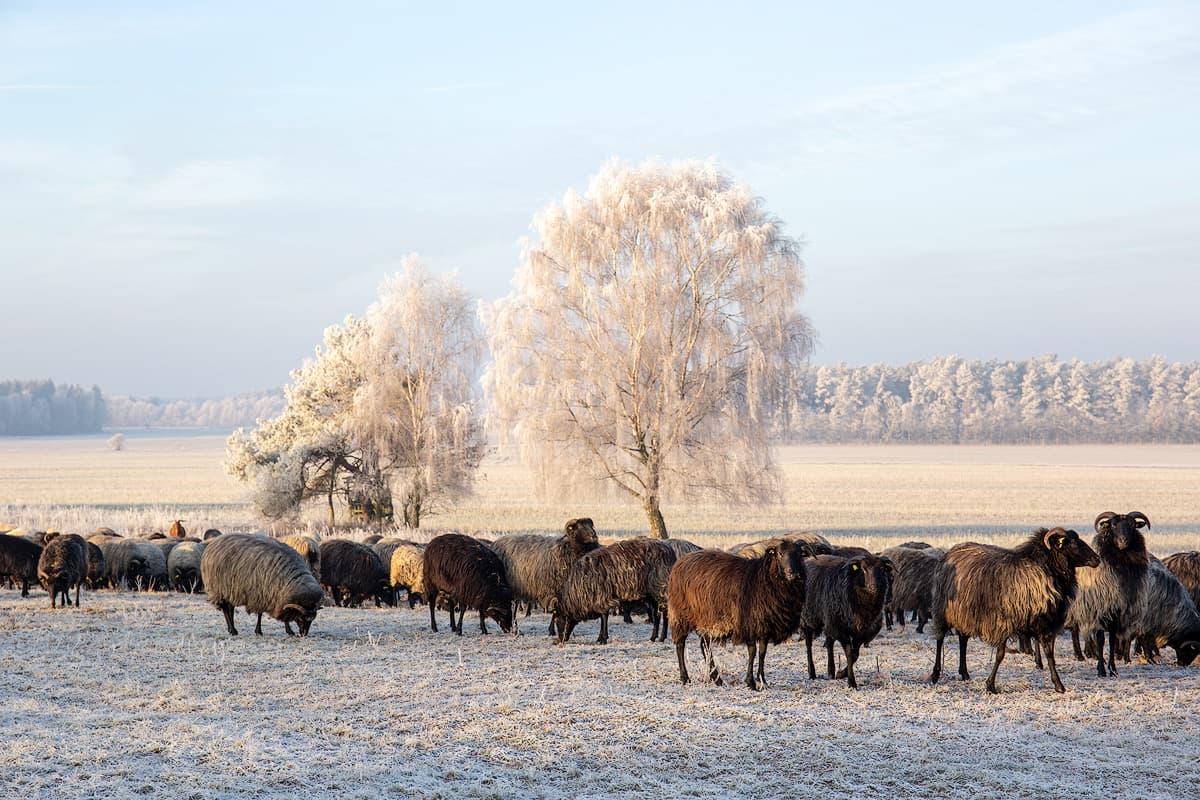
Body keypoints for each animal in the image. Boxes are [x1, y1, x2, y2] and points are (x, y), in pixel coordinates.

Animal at [672, 542, 811, 690]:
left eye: (799, 554)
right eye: (780, 554)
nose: (793, 573)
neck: (766, 578)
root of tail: (681, 560)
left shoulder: (765, 627)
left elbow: (762, 653)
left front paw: (762, 681)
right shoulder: (748, 623)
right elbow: (752, 652)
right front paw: (750, 682)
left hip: (707, 619)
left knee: (705, 645)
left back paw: (717, 679)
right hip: (681, 615)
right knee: (680, 644)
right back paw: (685, 678)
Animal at [796, 554, 892, 690]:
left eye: (883, 569)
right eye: (863, 569)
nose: (875, 587)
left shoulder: (861, 632)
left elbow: (855, 654)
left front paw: (841, 673)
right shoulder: (842, 629)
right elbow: (849, 654)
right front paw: (851, 682)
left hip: (829, 620)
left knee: (829, 643)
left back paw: (831, 671)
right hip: (808, 618)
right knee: (808, 644)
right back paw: (812, 673)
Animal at [926, 525, 1104, 695]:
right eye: (1072, 543)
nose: (1097, 559)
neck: (1043, 569)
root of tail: (951, 551)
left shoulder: (1044, 623)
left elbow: (1049, 654)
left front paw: (1059, 685)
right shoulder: (1004, 622)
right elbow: (1000, 655)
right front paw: (990, 685)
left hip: (965, 614)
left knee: (963, 640)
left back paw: (964, 673)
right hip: (943, 610)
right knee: (940, 639)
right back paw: (935, 674)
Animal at [1070, 513, 1152, 676]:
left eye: (1132, 525)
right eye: (1113, 525)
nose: (1123, 541)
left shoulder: (1117, 613)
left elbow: (1112, 641)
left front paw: (1112, 669)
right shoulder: (1100, 611)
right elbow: (1101, 640)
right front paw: (1101, 670)